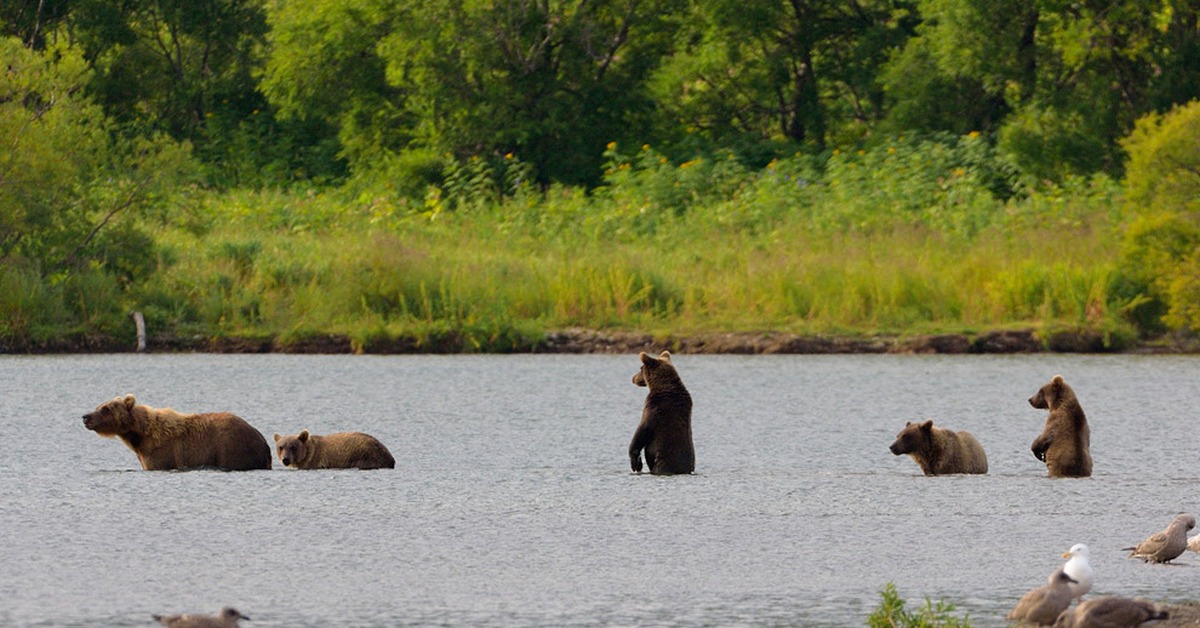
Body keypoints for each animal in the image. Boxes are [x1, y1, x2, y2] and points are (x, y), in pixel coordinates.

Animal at [82, 393, 272, 470]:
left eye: (105, 409)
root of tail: (263, 440)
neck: (140, 436)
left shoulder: (161, 453)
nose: (85, 417)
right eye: (99, 406)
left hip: (231, 449)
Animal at [628, 348, 696, 477]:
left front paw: (636, 463)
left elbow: (641, 431)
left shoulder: (654, 409)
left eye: (641, 368)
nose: (633, 378)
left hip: (663, 461)